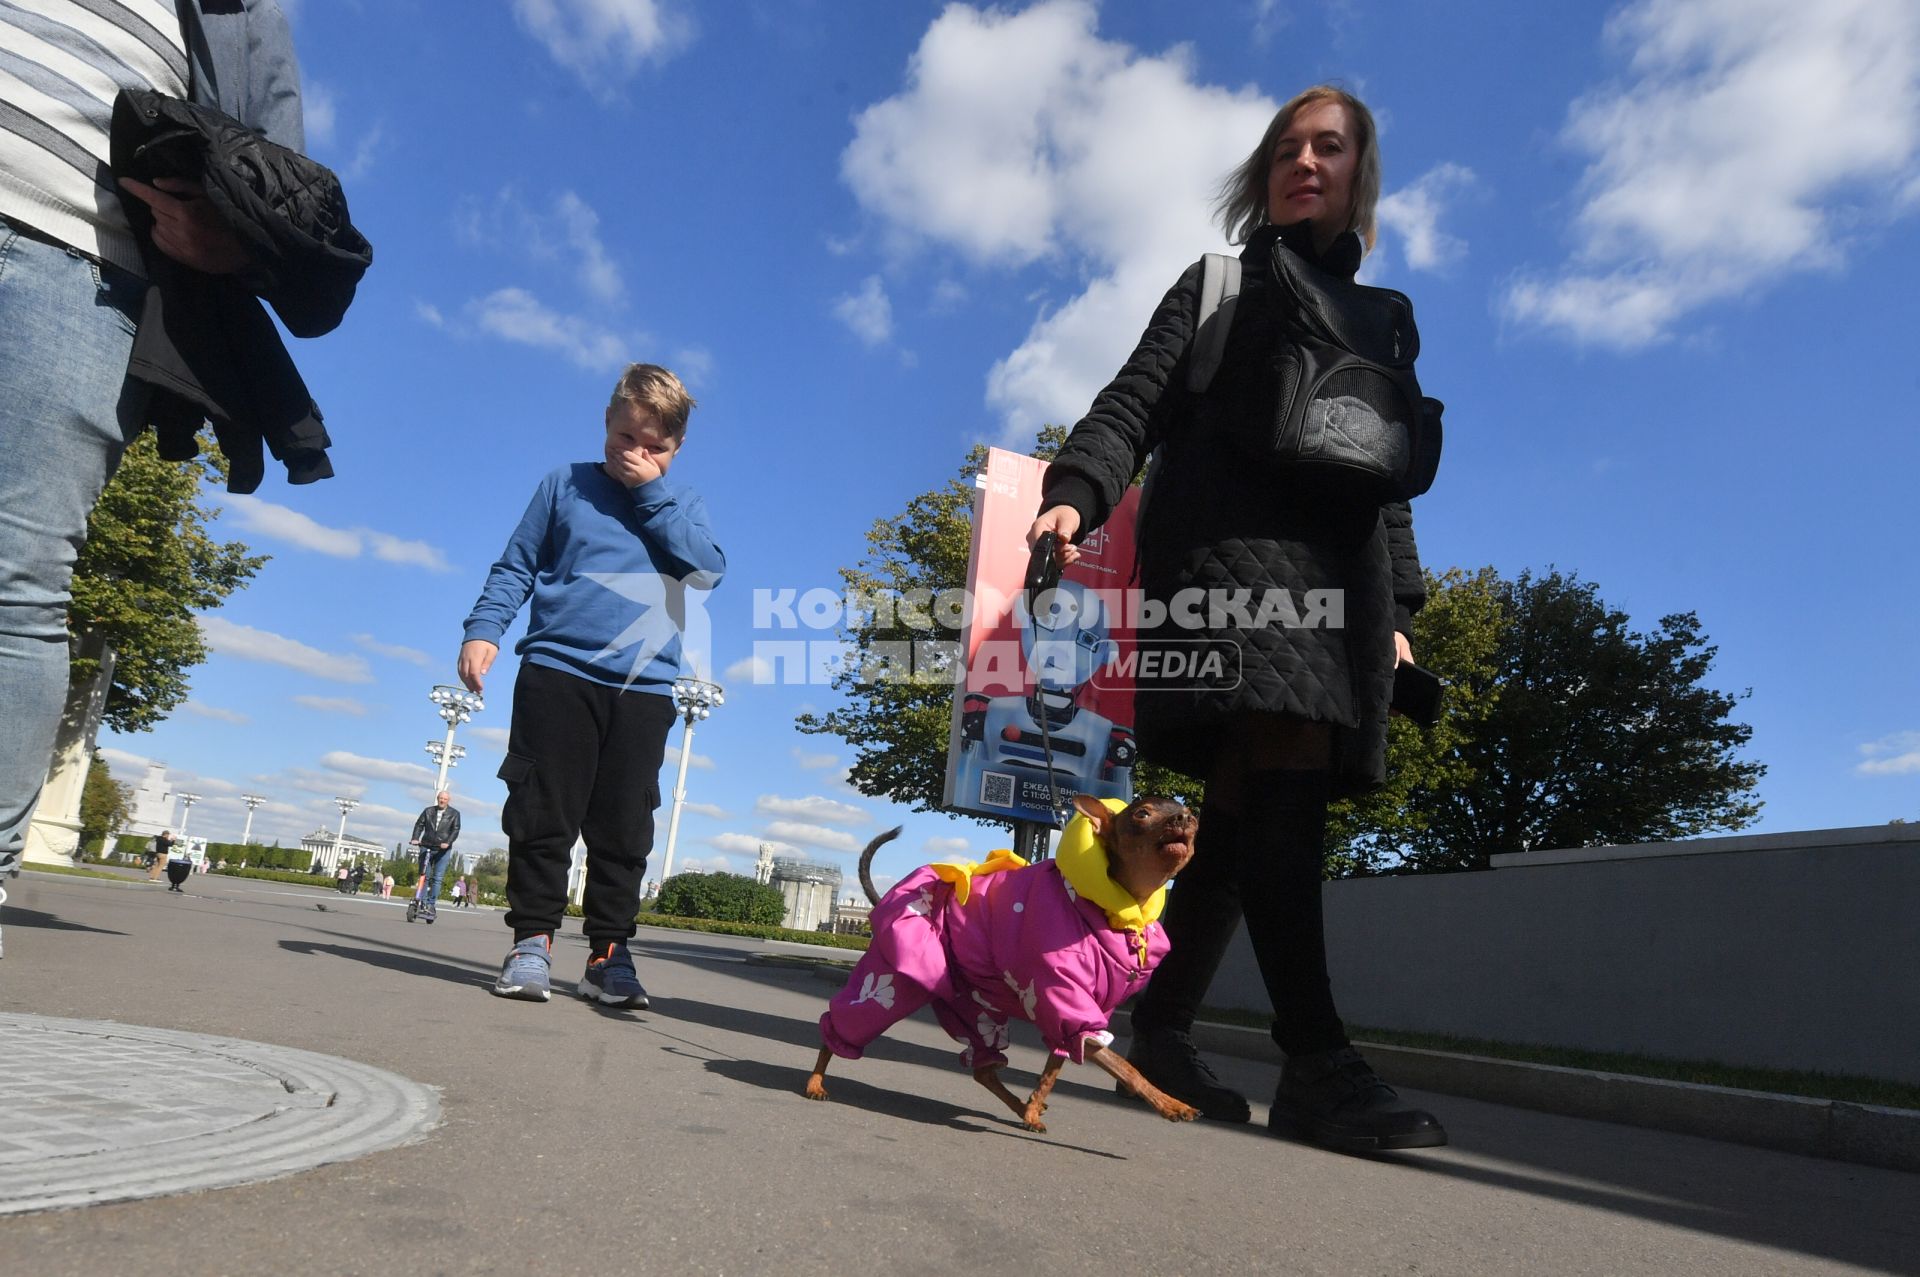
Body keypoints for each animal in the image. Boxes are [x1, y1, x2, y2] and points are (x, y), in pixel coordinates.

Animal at [806, 791, 1198, 1129]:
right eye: (1142, 814)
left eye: (1190, 812)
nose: (1186, 818)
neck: (1120, 910)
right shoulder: (1066, 1006)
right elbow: (1126, 1067)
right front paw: (1171, 1104)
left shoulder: (1079, 1016)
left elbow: (1054, 1068)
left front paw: (1034, 1106)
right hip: (889, 984)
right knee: (837, 1027)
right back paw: (815, 1082)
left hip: (973, 1008)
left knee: (983, 1069)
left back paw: (1020, 1107)